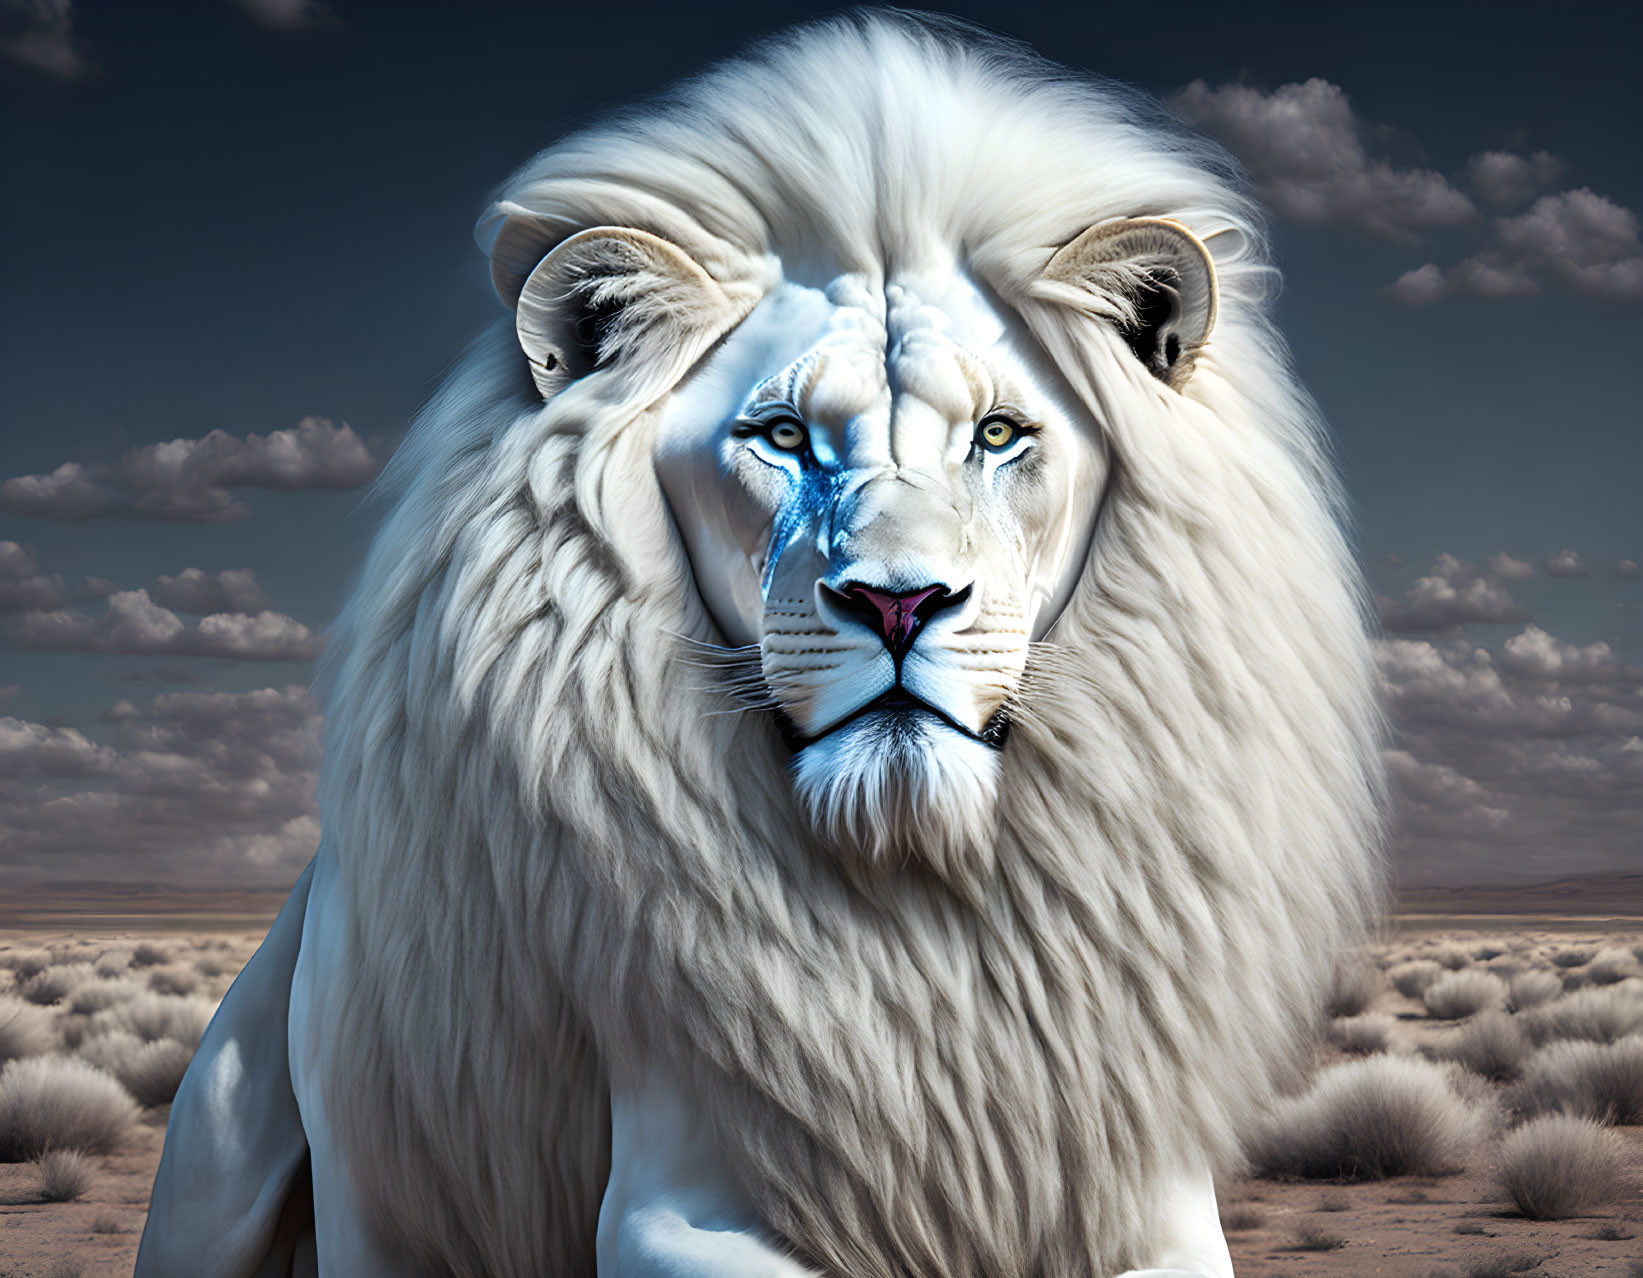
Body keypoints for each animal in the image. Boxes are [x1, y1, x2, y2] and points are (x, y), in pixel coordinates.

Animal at [134, 12, 1380, 1274]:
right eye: (780, 436)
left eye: (995, 435)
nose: (897, 603)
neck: (909, 889)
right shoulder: (677, 1193)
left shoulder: (1144, 1198)